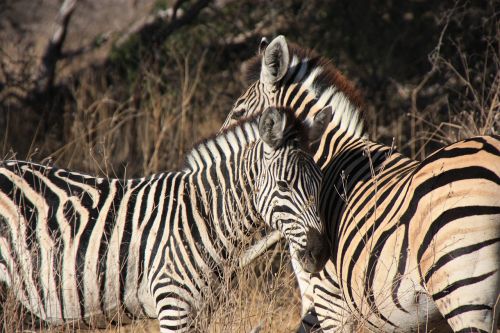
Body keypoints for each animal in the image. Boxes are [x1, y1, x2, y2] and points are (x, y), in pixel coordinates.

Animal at [0, 107, 332, 332]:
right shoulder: (174, 306)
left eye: (320, 182)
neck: (205, 216)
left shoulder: (200, 313)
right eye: (284, 186)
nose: (319, 253)